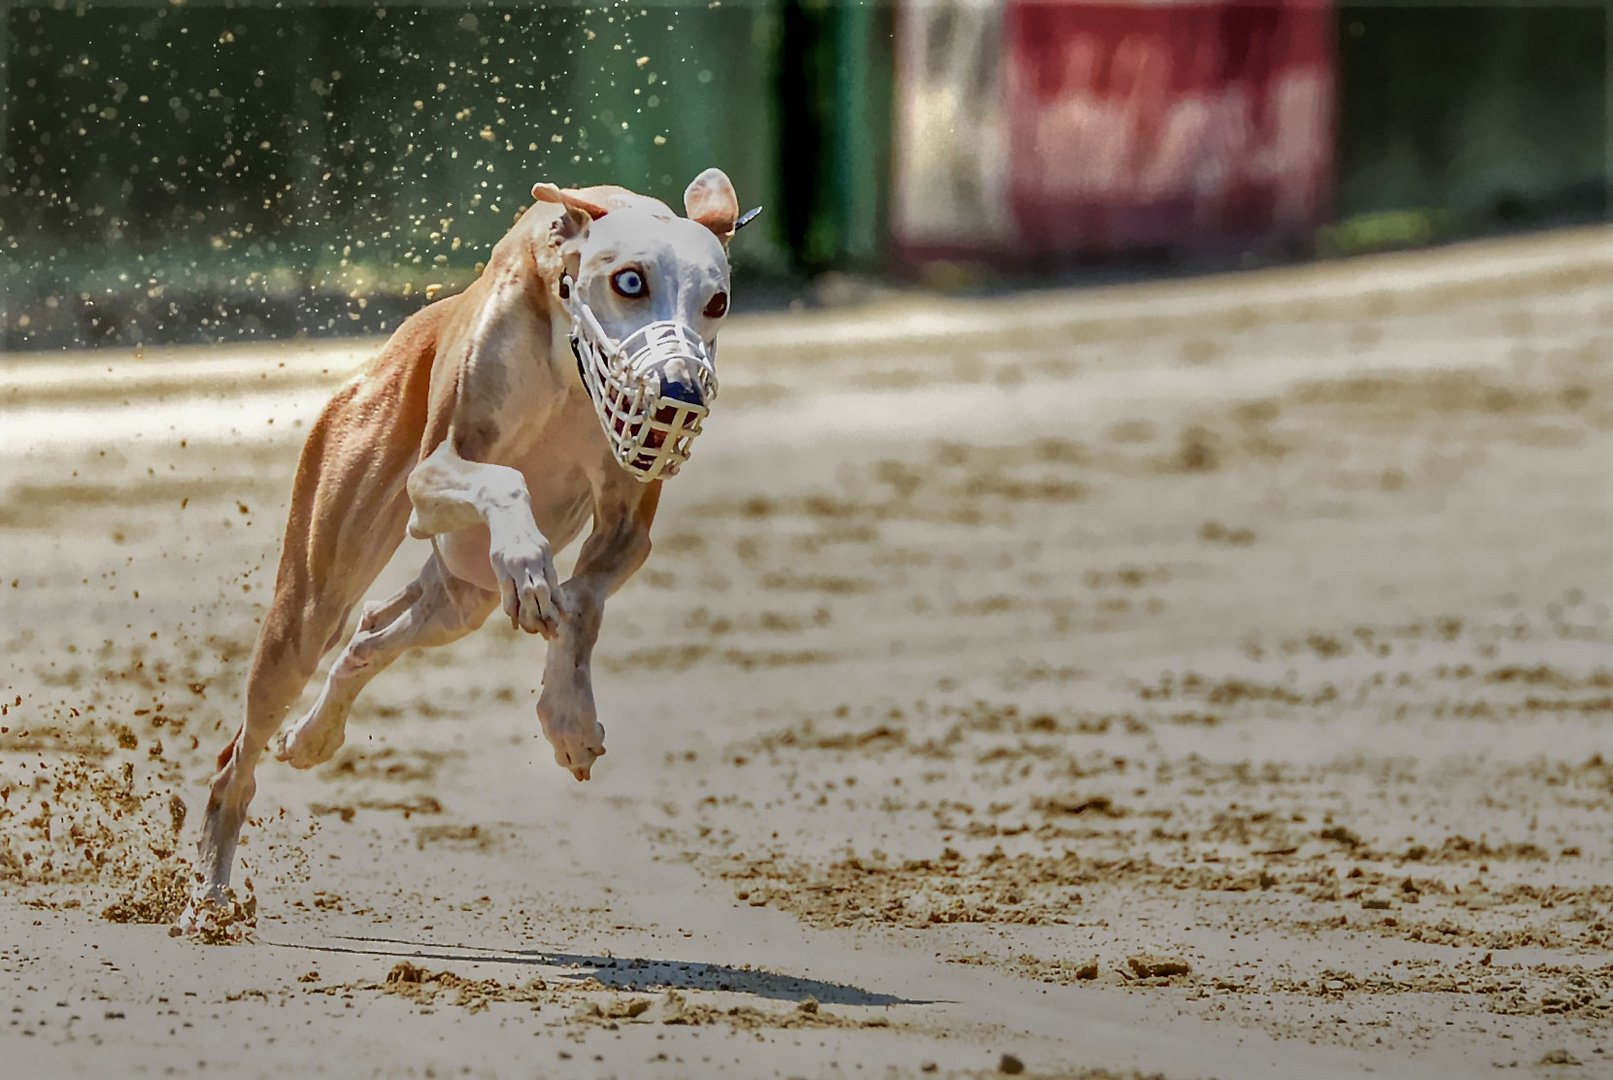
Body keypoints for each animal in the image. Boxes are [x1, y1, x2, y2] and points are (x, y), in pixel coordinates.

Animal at [185, 169, 751, 928]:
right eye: (629, 281)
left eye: (716, 302)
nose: (679, 391)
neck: (568, 356)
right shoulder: (434, 475)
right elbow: (506, 484)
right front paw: (527, 561)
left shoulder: (627, 526)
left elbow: (579, 603)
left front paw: (567, 717)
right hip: (310, 605)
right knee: (241, 752)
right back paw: (211, 890)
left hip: (461, 595)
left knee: (370, 636)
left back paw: (312, 737)